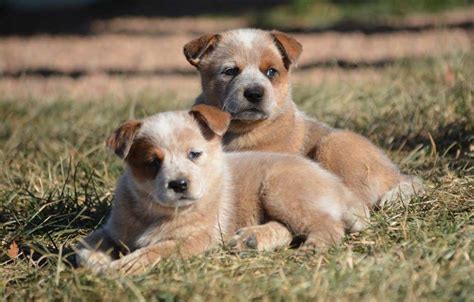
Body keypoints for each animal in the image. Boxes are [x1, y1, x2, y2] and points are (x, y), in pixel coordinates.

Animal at [76, 105, 368, 274]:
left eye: (194, 154)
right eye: (153, 162)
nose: (179, 184)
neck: (153, 212)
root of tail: (340, 187)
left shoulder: (199, 237)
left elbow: (159, 249)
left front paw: (125, 266)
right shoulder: (112, 230)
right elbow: (82, 249)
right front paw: (99, 263)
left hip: (279, 189)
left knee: (328, 226)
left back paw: (311, 249)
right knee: (286, 228)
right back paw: (251, 239)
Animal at [183, 28, 424, 210]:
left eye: (271, 72)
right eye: (230, 71)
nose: (254, 93)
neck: (236, 130)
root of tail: (397, 174)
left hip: (334, 143)